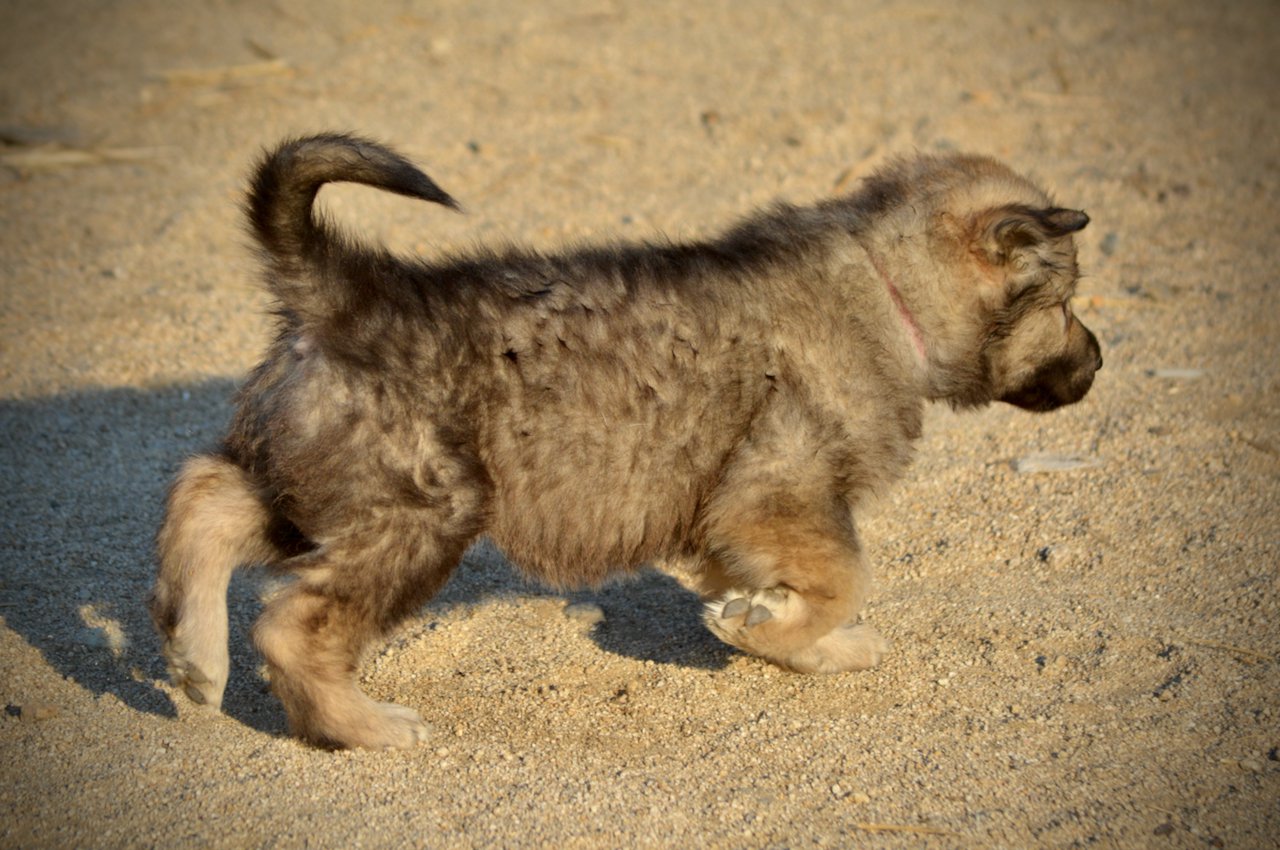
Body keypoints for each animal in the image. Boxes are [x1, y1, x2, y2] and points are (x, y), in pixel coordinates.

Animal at [147, 134, 1100, 752]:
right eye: (1061, 303)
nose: (1098, 363)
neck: (886, 285)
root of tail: (349, 292)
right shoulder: (779, 491)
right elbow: (841, 578)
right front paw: (776, 629)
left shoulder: (735, 521)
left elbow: (800, 589)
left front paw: (793, 634)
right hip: (417, 512)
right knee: (290, 623)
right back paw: (367, 727)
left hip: (323, 485)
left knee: (204, 493)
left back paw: (196, 654)